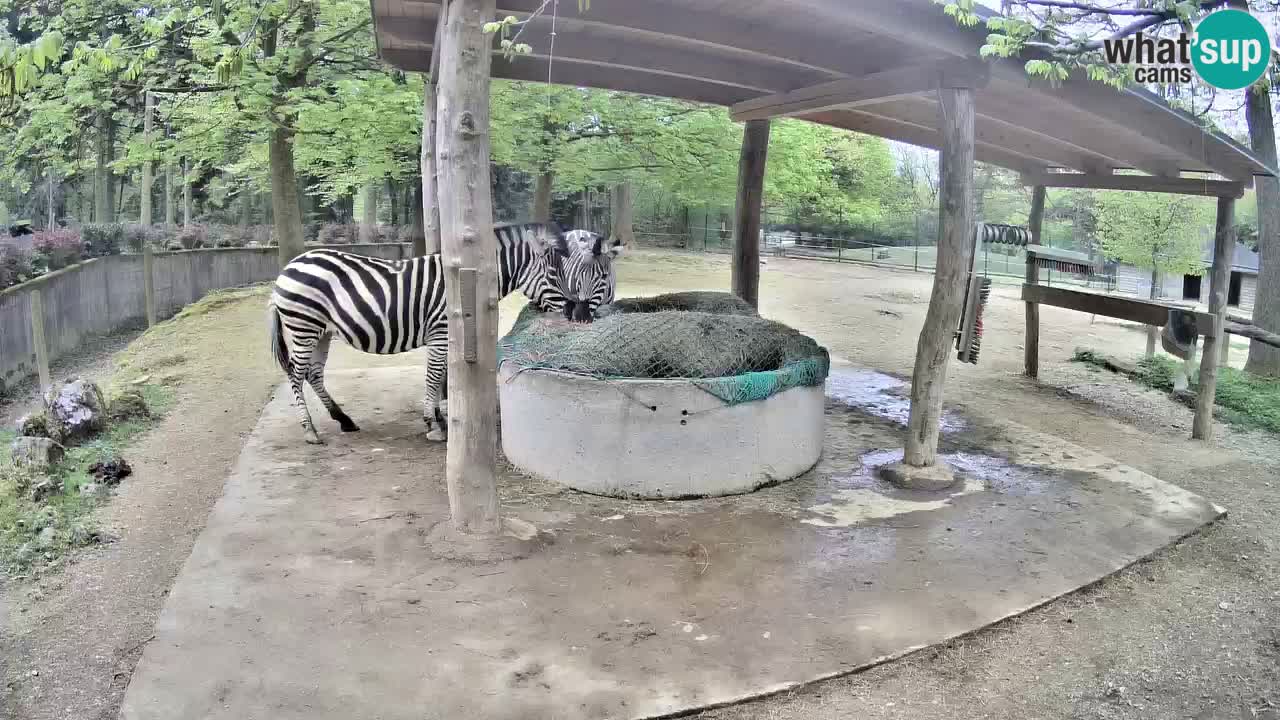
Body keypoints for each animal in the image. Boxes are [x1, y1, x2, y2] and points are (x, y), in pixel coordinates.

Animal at [267, 222, 623, 445]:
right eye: (553, 274)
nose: (578, 315)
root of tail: (289, 266)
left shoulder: (447, 336)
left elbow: (438, 376)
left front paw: (438, 417)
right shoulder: (440, 332)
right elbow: (434, 375)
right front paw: (433, 425)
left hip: (322, 331)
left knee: (313, 374)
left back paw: (344, 420)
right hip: (303, 326)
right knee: (296, 375)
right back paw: (310, 431)